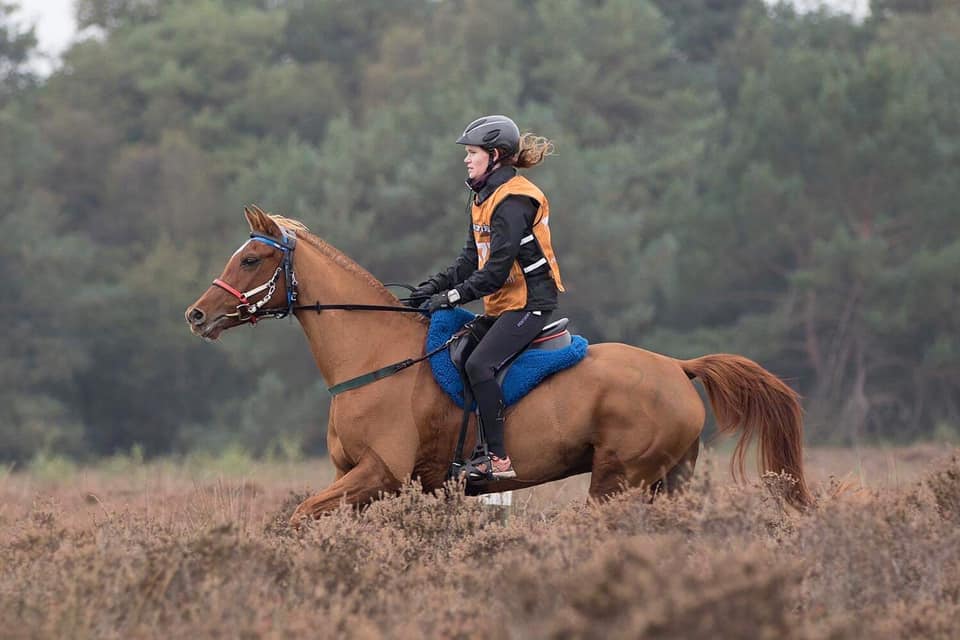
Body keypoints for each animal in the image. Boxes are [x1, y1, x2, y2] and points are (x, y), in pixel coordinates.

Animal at [186, 208, 808, 524]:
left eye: (251, 259)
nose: (196, 315)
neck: (375, 357)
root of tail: (678, 368)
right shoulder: (356, 479)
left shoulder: (379, 475)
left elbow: (297, 518)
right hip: (667, 480)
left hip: (619, 480)